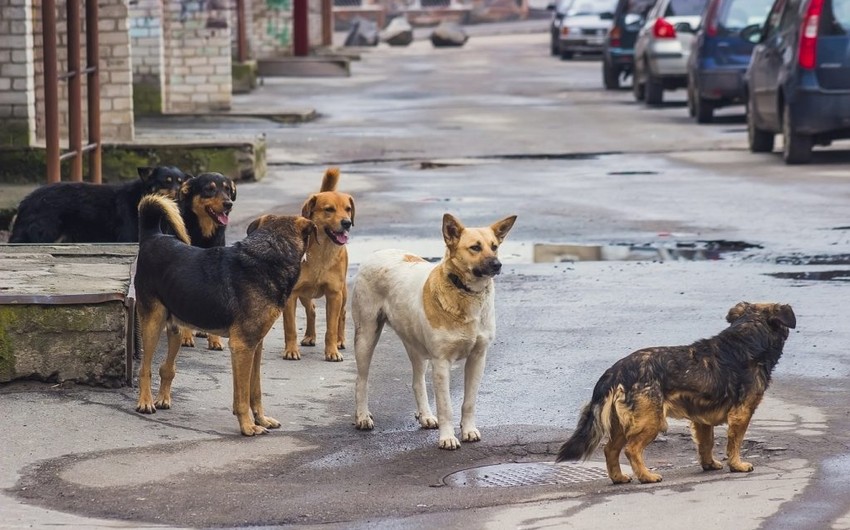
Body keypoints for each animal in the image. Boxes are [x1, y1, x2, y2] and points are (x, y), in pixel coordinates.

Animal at [8, 165, 187, 243]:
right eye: (166, 181)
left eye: (181, 182)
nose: (179, 193)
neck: (141, 196)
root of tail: (26, 201)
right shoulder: (128, 237)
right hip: (43, 235)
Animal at [136, 194, 314, 434]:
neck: (270, 254)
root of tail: (153, 236)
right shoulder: (242, 347)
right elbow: (242, 396)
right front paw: (247, 426)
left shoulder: (255, 345)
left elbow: (255, 390)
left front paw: (261, 419)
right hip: (152, 323)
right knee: (145, 368)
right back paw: (145, 402)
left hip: (175, 328)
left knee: (167, 367)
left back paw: (163, 398)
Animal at [348, 212, 512, 448]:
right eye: (475, 247)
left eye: (495, 246)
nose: (497, 265)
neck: (465, 293)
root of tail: (378, 252)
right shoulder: (441, 362)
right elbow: (446, 407)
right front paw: (448, 438)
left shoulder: (478, 358)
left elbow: (469, 402)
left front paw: (468, 430)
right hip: (366, 337)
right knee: (361, 380)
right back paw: (362, 416)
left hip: (415, 345)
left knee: (417, 382)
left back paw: (425, 415)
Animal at [556, 302, 796, 482]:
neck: (748, 337)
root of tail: (616, 371)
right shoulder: (742, 413)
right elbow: (735, 442)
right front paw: (737, 464)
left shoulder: (702, 419)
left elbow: (706, 443)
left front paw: (709, 464)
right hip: (651, 420)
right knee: (631, 449)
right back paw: (646, 476)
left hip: (622, 423)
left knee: (610, 450)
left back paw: (619, 478)